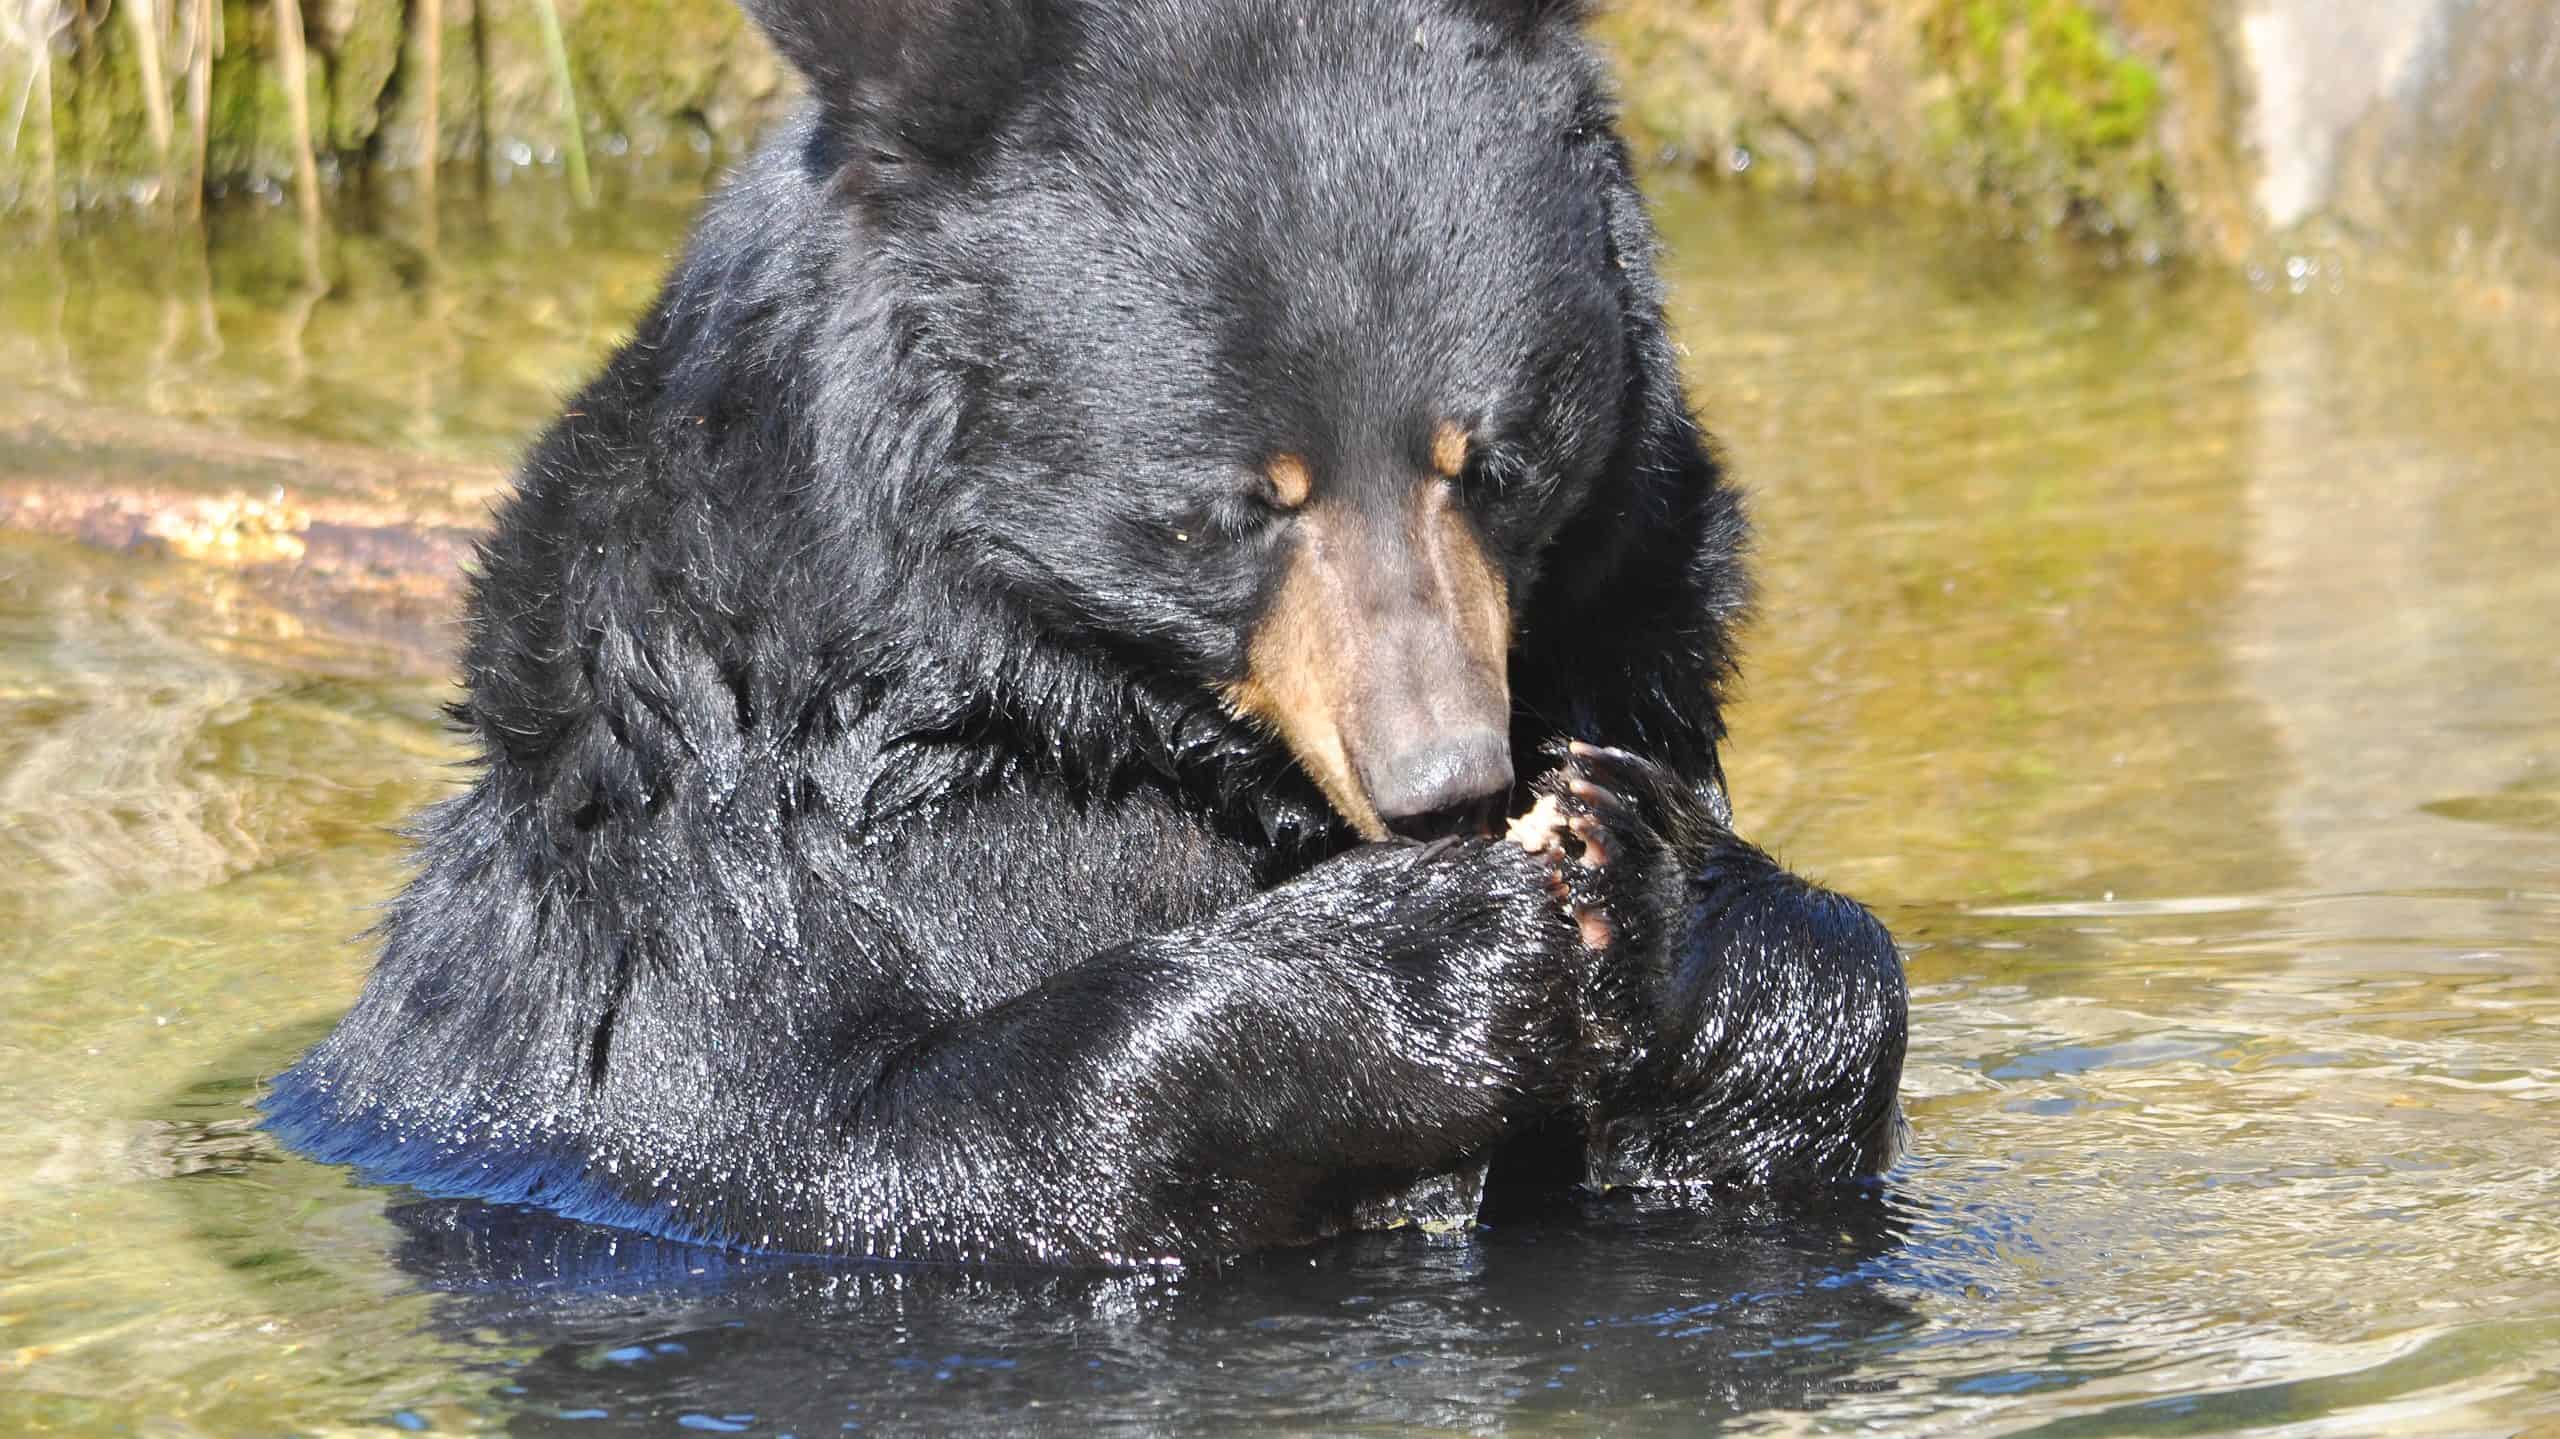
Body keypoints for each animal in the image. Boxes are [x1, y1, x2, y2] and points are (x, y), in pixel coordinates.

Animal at [264, 0, 1904, 1259]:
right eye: (1242, 501)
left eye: (1487, 458)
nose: (1443, 774)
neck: (1078, 706)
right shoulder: (710, 888)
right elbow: (853, 1137)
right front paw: (1435, 943)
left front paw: (1651, 880)